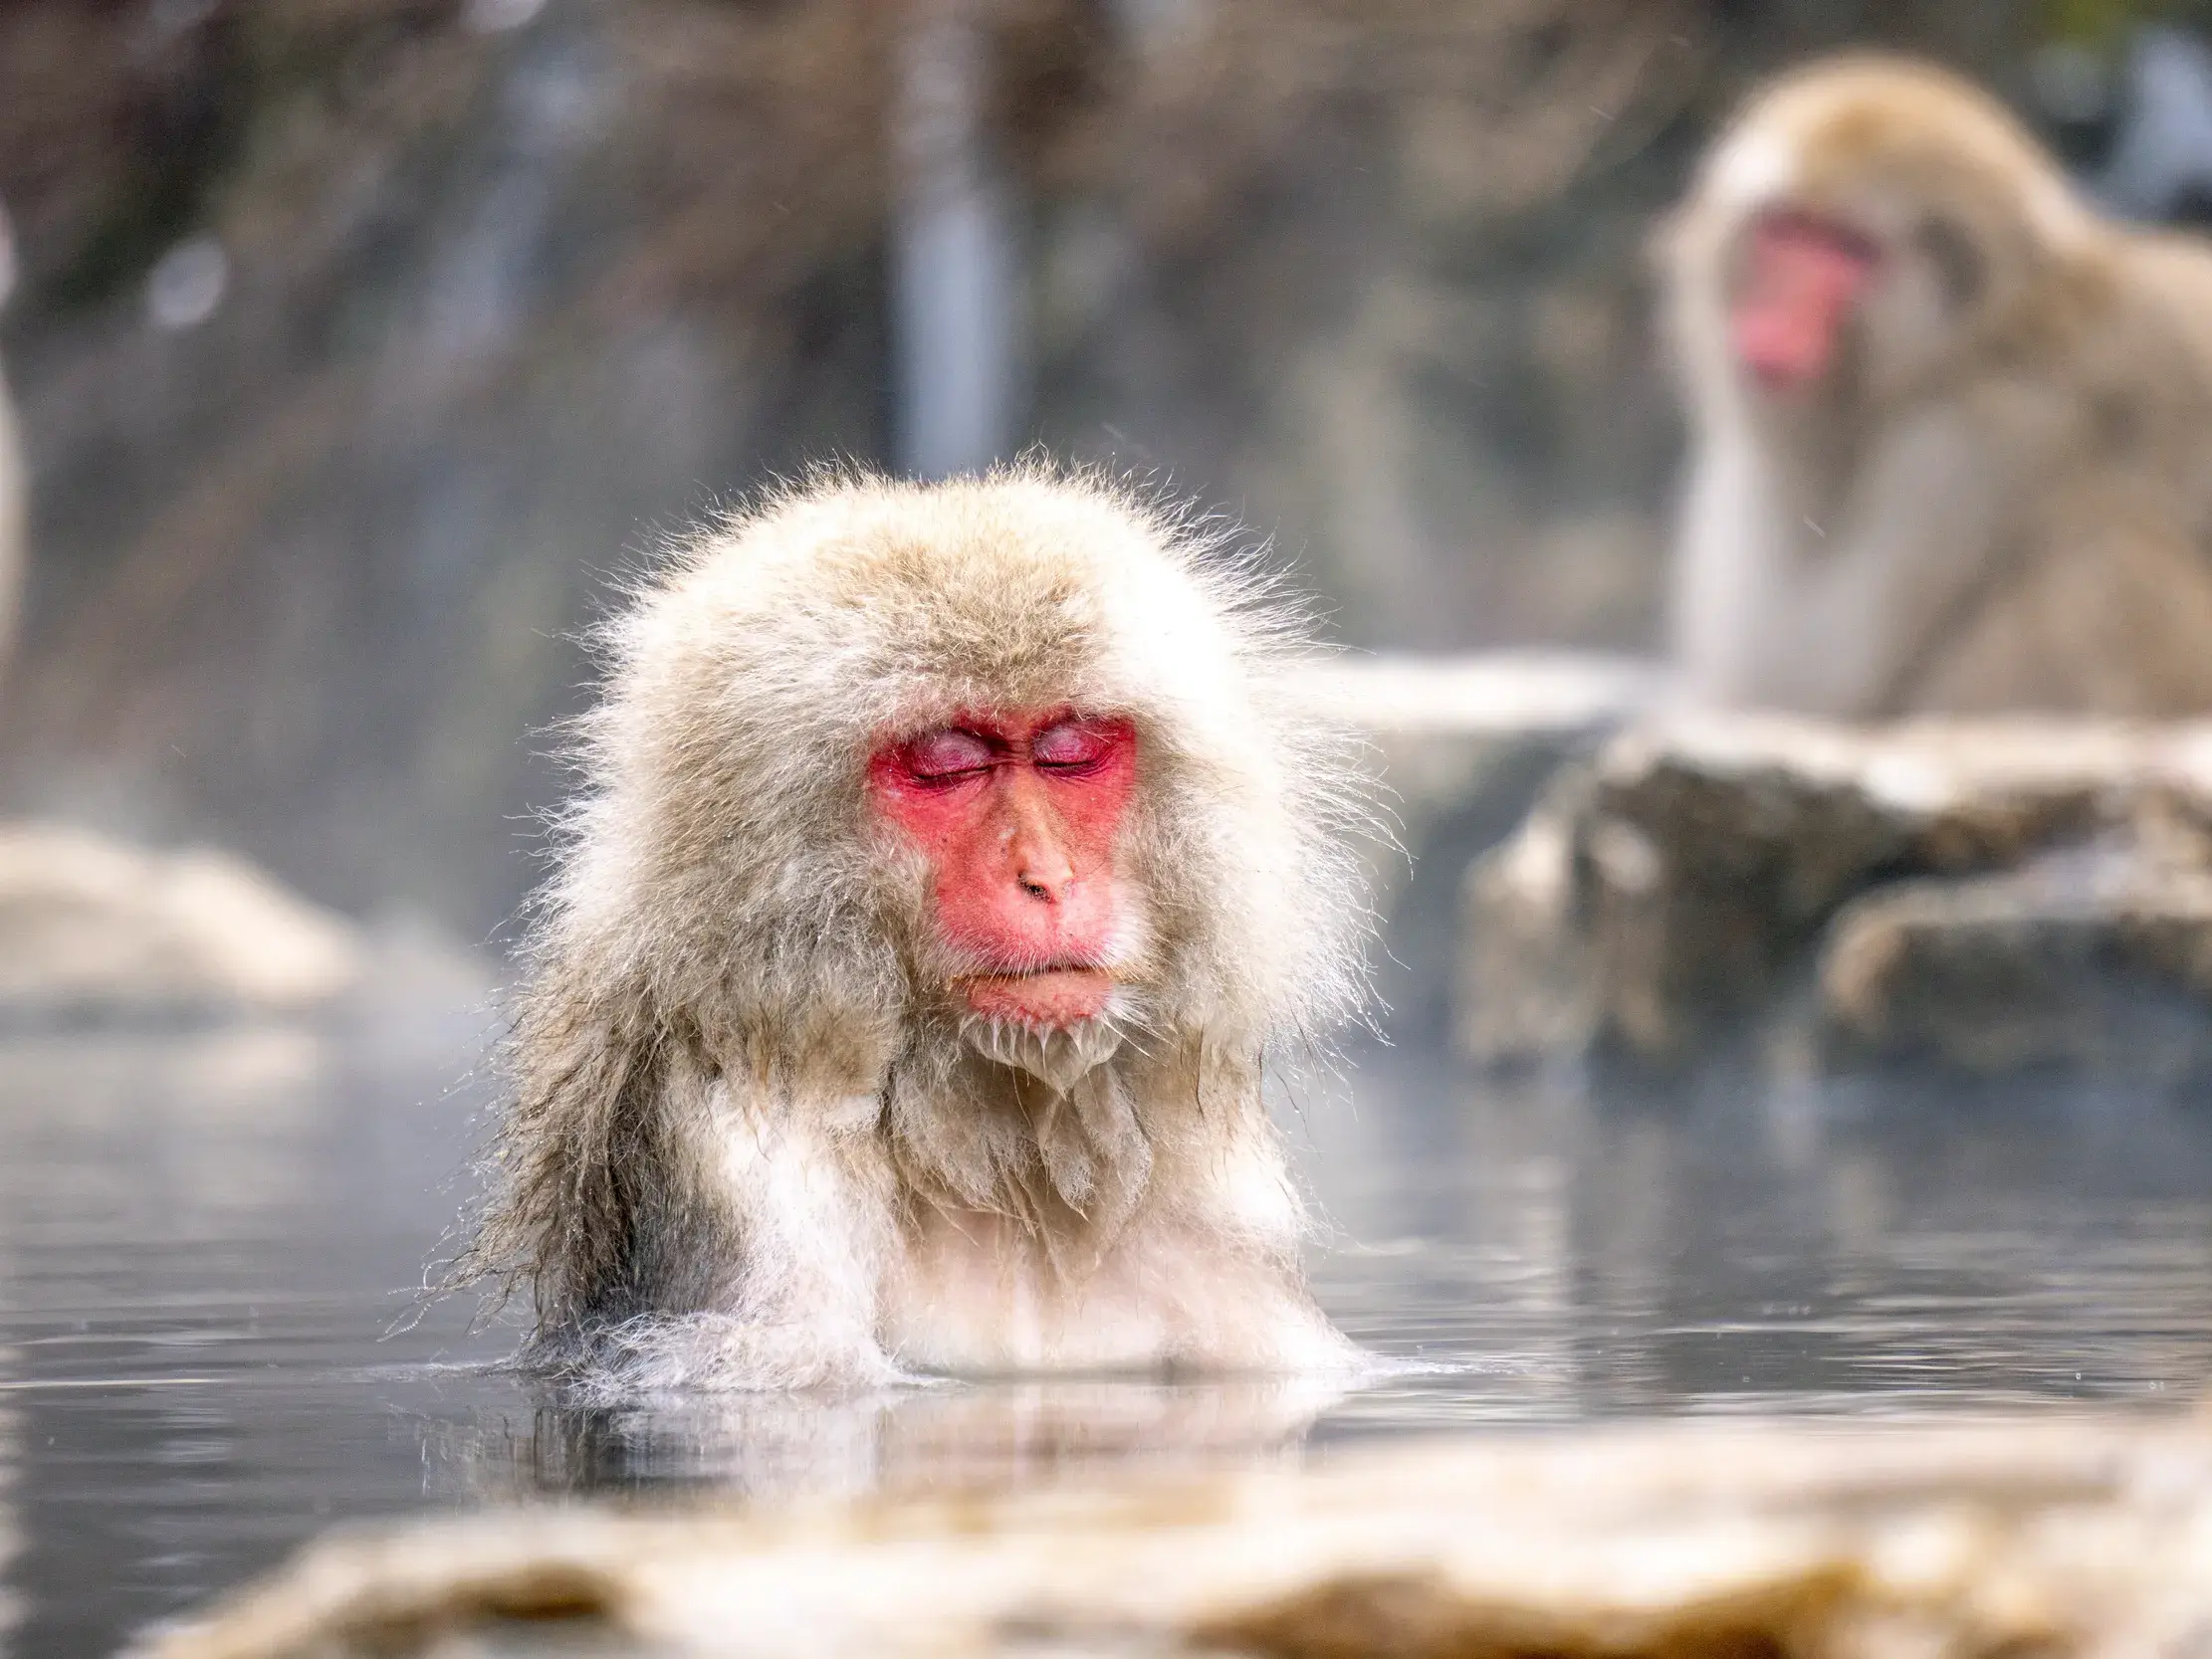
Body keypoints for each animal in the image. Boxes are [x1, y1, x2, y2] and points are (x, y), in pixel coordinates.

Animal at [1663, 54, 2212, 719]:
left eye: (1846, 249)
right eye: (1787, 230)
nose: (1772, 324)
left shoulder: (1956, 453)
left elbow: (1822, 675)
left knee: (2113, 574)